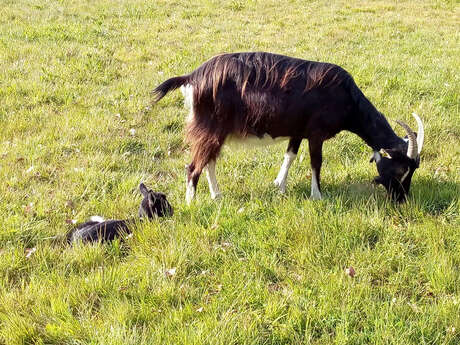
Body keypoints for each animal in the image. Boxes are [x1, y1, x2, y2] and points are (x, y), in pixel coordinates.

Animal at [153, 51, 426, 202]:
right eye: (401, 170)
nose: (402, 199)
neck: (347, 98)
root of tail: (192, 77)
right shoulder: (315, 134)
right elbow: (316, 162)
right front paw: (317, 195)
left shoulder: (298, 131)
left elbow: (290, 156)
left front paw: (279, 186)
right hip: (210, 128)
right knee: (193, 166)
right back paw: (193, 203)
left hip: (215, 132)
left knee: (208, 160)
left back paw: (216, 195)